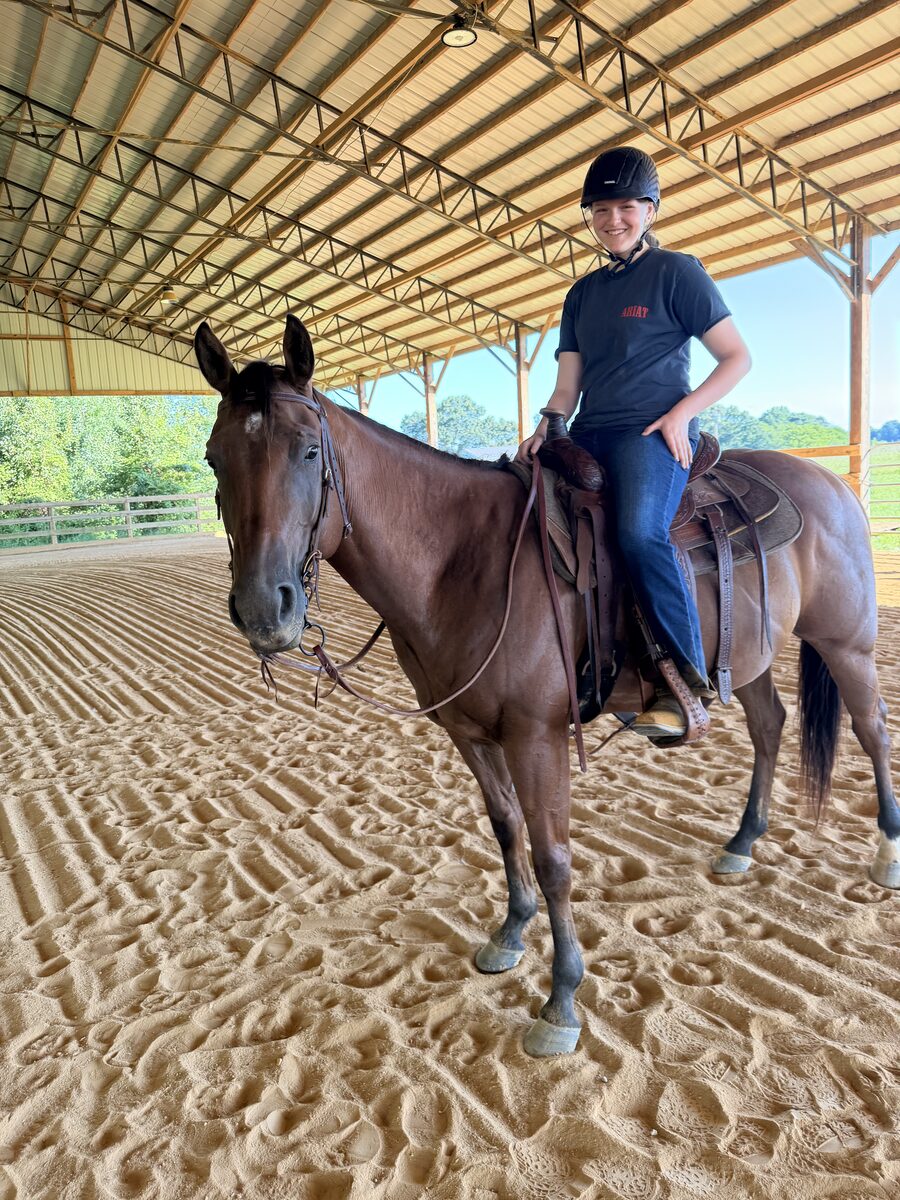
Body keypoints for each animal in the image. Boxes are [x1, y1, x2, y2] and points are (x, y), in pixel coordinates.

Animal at [195, 314, 900, 1058]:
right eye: (214, 459)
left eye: (308, 452)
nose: (264, 609)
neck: (461, 559)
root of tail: (830, 483)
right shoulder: (470, 731)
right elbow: (506, 828)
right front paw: (510, 932)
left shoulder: (537, 737)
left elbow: (553, 853)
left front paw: (561, 1000)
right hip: (753, 656)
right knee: (769, 726)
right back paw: (741, 844)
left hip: (846, 643)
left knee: (872, 727)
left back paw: (886, 852)